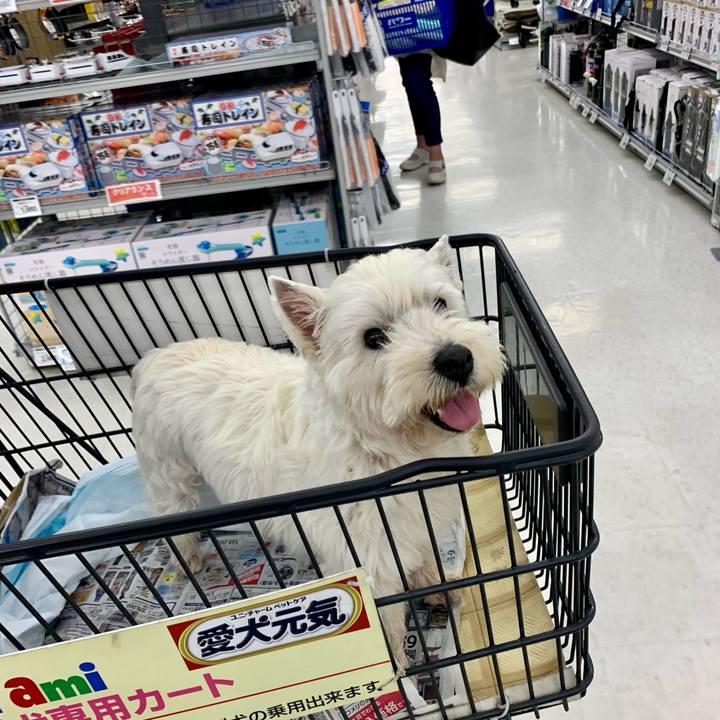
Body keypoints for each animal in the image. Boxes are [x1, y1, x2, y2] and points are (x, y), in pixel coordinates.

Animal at [131, 236, 505, 666]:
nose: (456, 358)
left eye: (441, 303)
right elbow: (388, 623)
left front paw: (435, 585)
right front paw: (398, 670)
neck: (391, 448)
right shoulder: (366, 558)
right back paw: (188, 560)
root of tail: (153, 356)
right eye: (373, 338)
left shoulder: (421, 517)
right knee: (173, 519)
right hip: (168, 470)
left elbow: (424, 557)